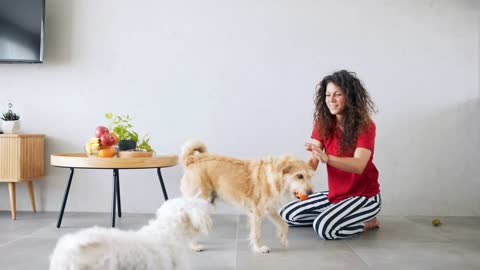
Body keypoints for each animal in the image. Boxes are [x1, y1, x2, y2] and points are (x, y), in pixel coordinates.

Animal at [180, 140, 316, 252]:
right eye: (299, 176)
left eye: (310, 176)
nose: (311, 193)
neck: (273, 178)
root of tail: (191, 160)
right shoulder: (257, 212)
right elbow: (256, 233)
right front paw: (259, 248)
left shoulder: (270, 208)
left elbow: (283, 224)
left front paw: (283, 239)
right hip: (199, 203)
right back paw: (194, 246)